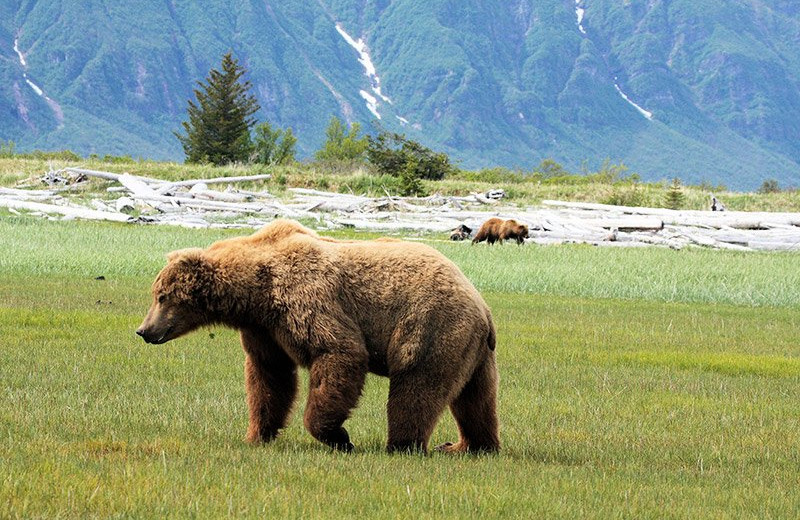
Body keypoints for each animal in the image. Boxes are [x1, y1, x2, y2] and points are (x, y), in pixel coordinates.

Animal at [138, 219, 500, 456]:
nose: (143, 331)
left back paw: (403, 445)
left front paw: (339, 437)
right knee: (475, 399)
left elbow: (338, 353)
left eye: (162, 297)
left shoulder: (306, 298)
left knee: (416, 387)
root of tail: (482, 305)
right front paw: (257, 434)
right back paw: (469, 445)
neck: (257, 291)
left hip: (430, 327)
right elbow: (269, 377)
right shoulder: (264, 328)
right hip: (472, 350)